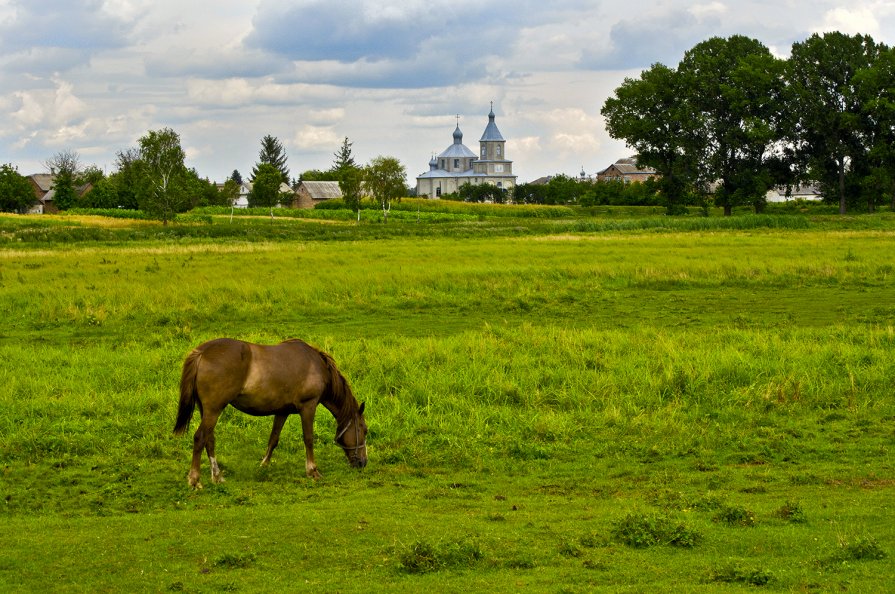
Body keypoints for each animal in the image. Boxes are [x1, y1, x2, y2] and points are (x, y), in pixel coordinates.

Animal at [172, 336, 368, 488]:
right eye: (364, 430)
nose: (363, 462)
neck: (316, 365)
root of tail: (202, 352)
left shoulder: (282, 411)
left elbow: (273, 439)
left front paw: (263, 465)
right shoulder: (308, 406)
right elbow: (308, 439)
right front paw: (313, 471)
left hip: (207, 410)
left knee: (209, 439)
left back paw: (217, 476)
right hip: (214, 410)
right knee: (200, 438)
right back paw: (195, 480)